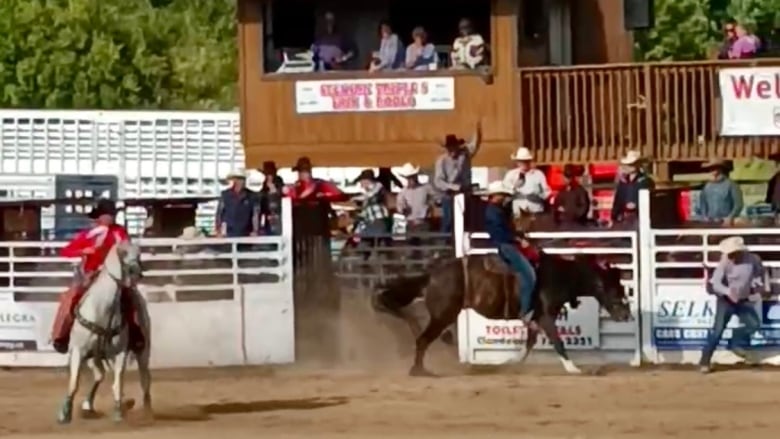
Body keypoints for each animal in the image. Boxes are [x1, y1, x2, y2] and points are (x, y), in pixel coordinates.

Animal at [57, 242, 152, 424]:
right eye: (123, 253)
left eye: (139, 254)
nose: (138, 273)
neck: (102, 309)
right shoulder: (79, 350)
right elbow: (74, 382)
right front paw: (64, 413)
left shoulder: (120, 352)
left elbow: (118, 383)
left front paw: (118, 411)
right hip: (94, 357)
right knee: (99, 376)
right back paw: (87, 406)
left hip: (143, 351)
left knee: (144, 380)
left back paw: (147, 411)